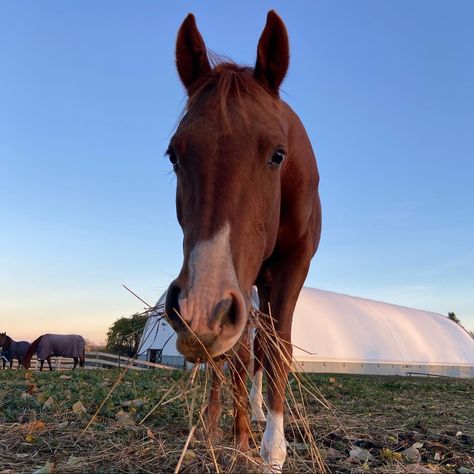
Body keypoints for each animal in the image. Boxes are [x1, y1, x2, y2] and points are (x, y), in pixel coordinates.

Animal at [164, 12, 322, 474]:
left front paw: (272, 450)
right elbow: (234, 356)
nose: (198, 308)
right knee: (236, 354)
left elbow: (278, 350)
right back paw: (224, 420)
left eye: (278, 154)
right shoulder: (232, 291)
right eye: (174, 155)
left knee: (259, 348)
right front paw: (237, 438)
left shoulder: (292, 266)